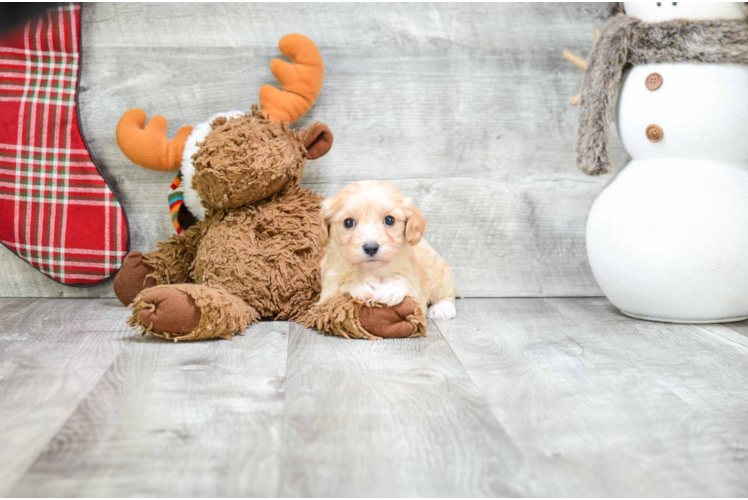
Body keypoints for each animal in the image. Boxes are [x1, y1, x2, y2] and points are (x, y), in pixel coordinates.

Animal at [316, 182, 456, 318]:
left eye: (389, 220)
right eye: (348, 222)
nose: (371, 248)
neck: (375, 269)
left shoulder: (415, 288)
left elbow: (403, 280)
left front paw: (391, 289)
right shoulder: (327, 290)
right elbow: (341, 284)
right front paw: (360, 283)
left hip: (440, 273)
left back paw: (442, 308)